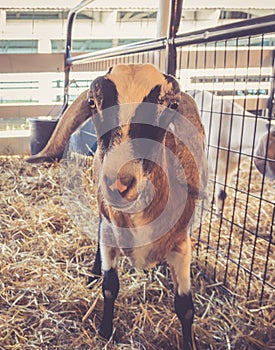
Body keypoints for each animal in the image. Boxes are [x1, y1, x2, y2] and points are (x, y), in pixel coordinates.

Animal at [27, 63, 208, 350]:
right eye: (92, 102)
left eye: (172, 105)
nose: (118, 183)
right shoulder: (110, 230)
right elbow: (110, 285)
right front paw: (105, 331)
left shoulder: (181, 243)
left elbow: (185, 307)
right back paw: (92, 274)